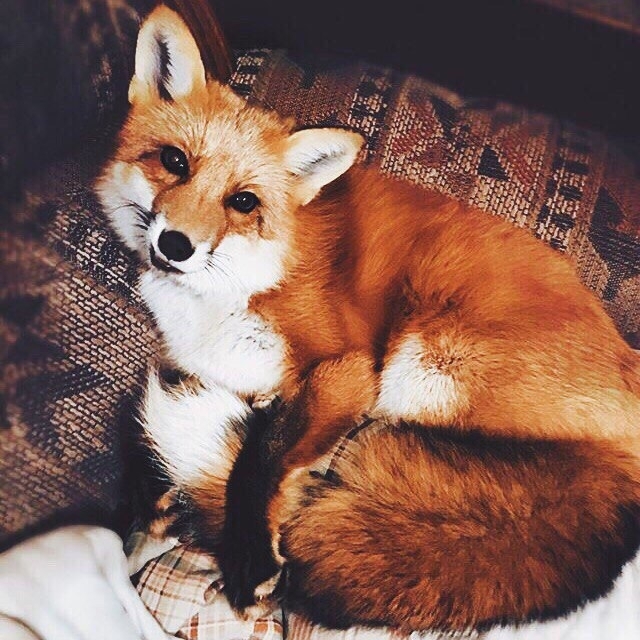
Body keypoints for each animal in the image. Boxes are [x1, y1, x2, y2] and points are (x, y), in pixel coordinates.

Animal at [97, 4, 640, 634]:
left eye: (243, 202)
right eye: (174, 161)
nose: (176, 244)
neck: (236, 290)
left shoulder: (347, 367)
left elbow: (260, 457)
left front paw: (249, 559)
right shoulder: (217, 368)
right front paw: (146, 523)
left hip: (422, 365)